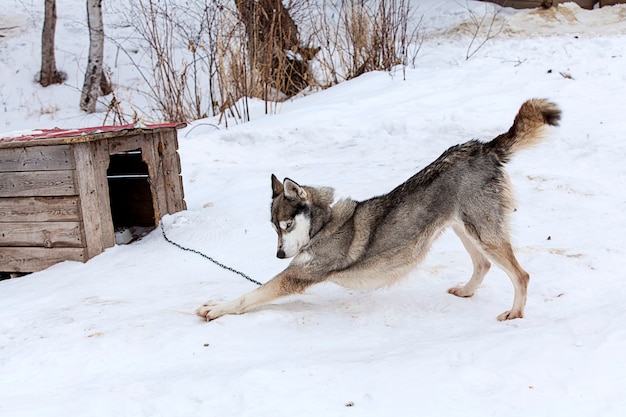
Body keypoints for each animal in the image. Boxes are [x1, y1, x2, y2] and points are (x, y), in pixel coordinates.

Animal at [197, 99, 560, 320]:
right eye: (274, 227)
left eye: (286, 225)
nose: (279, 255)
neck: (323, 226)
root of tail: (483, 147)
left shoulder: (296, 276)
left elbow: (250, 296)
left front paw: (216, 309)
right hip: (464, 228)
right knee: (483, 265)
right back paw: (466, 292)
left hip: (482, 232)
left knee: (521, 275)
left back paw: (514, 313)